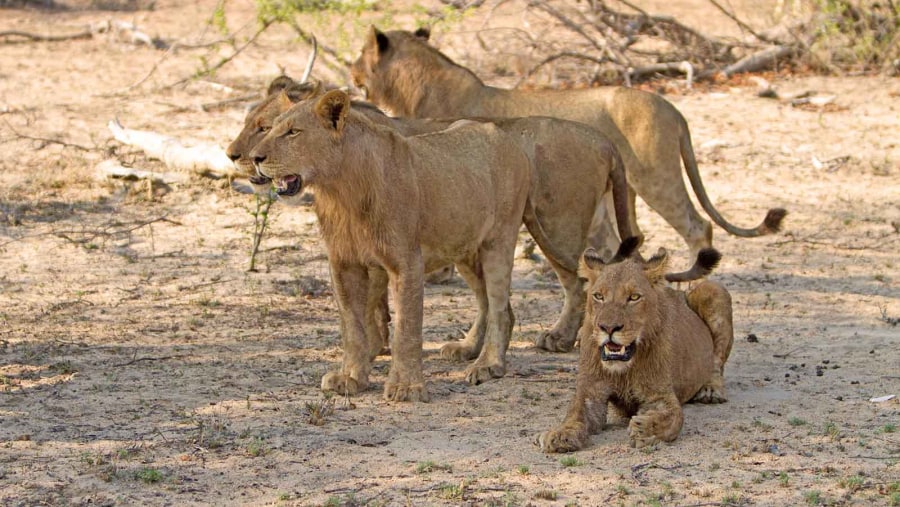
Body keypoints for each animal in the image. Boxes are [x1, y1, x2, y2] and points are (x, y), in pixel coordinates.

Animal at [248, 90, 536, 400]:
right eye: (270, 128)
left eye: (293, 132)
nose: (255, 157)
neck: (340, 191)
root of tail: (503, 135)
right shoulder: (344, 264)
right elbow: (352, 326)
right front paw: (351, 377)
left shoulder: (407, 262)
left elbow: (406, 328)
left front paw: (406, 386)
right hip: (464, 249)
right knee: (493, 304)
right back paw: (467, 348)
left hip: (499, 240)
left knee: (499, 308)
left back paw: (489, 364)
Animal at [348, 26, 784, 260]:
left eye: (360, 54)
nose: (351, 71)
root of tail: (673, 108)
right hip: (622, 190)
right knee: (630, 240)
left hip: (655, 177)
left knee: (697, 227)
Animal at [536, 238, 732, 452]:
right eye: (599, 296)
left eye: (634, 297)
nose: (608, 328)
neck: (624, 369)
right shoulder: (590, 392)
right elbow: (574, 413)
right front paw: (561, 434)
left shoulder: (659, 395)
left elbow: (673, 417)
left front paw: (645, 429)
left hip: (713, 290)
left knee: (717, 362)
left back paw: (710, 390)